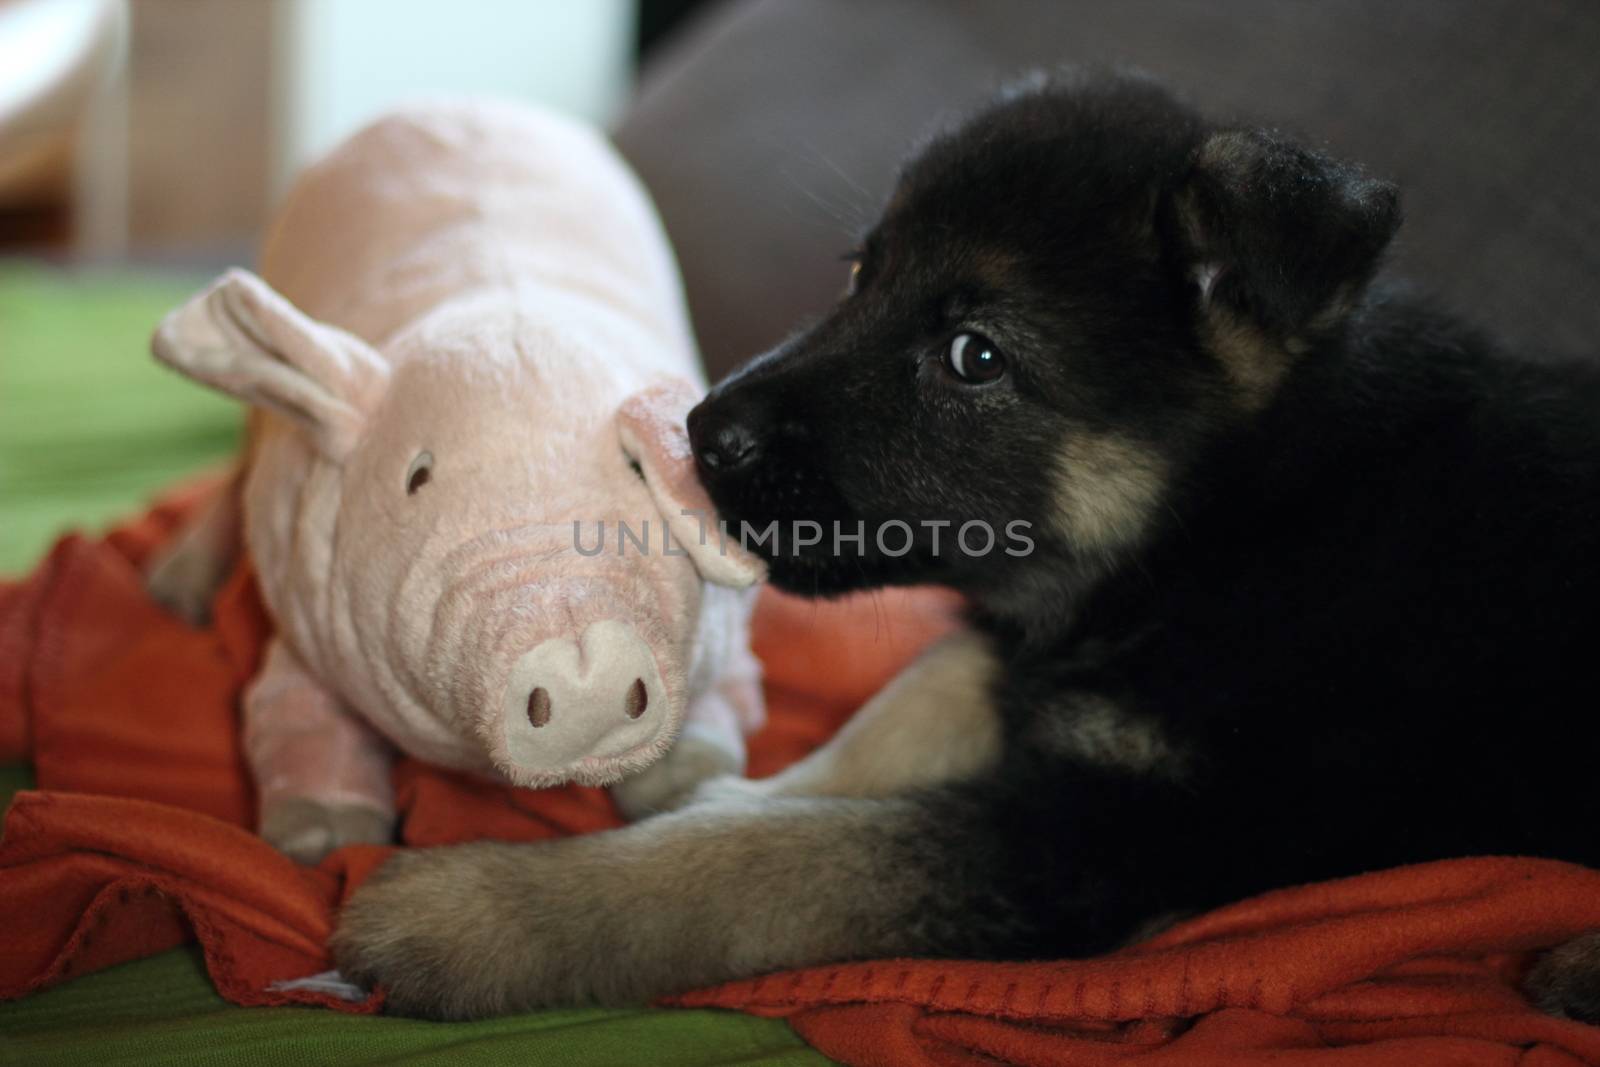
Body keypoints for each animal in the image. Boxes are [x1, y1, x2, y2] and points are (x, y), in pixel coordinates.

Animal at [331, 70, 1600, 1023]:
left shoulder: (1123, 831)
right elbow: (889, 716)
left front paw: (484, 912)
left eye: (974, 357)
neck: (1235, 528)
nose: (700, 430)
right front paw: (720, 785)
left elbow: (785, 864)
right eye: (860, 271)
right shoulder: (1018, 662)